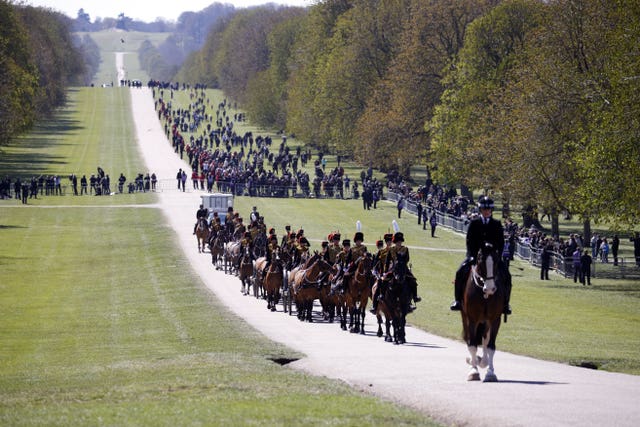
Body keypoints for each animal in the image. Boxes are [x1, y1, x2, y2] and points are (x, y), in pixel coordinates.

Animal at [462, 242, 508, 382]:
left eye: (496, 261)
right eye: (481, 260)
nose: (490, 288)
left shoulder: (495, 320)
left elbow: (490, 346)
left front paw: (490, 372)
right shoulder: (472, 319)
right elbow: (472, 345)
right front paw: (473, 371)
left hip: (486, 322)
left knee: (484, 339)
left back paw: (482, 361)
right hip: (466, 318)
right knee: (469, 338)